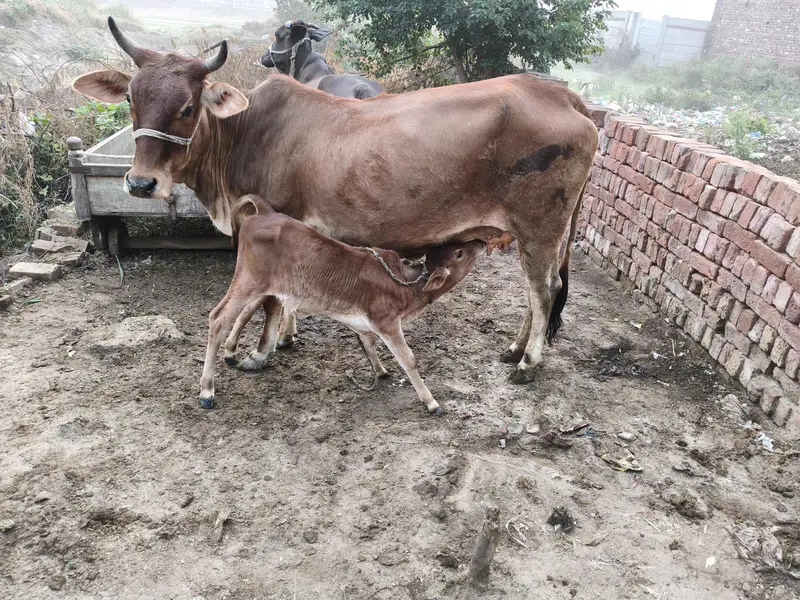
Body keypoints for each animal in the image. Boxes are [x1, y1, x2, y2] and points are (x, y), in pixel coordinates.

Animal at [72, 17, 598, 386]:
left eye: (187, 107)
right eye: (131, 100)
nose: (142, 184)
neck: (244, 134)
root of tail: (560, 94)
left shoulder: (272, 221)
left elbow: (266, 299)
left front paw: (260, 350)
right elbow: (272, 298)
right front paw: (276, 338)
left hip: (540, 225)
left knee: (543, 289)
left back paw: (527, 363)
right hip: (532, 232)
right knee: (535, 292)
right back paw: (514, 348)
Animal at [200, 194, 484, 412]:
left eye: (457, 245)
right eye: (460, 253)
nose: (480, 241)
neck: (406, 286)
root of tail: (267, 212)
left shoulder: (365, 323)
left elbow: (369, 345)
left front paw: (380, 371)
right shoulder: (387, 321)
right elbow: (408, 359)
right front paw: (430, 401)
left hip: (262, 286)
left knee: (246, 311)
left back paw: (232, 354)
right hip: (249, 280)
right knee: (218, 318)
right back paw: (207, 392)